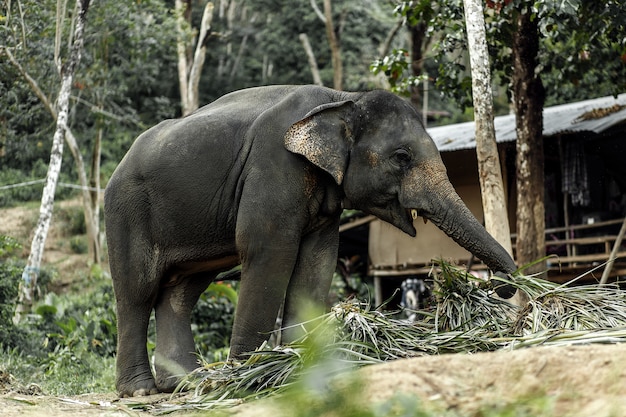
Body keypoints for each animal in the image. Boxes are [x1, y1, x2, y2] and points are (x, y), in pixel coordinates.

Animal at [103, 84, 516, 396]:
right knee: (137, 292)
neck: (343, 98)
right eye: (401, 156)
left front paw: (297, 368)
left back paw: (186, 383)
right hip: (126, 210)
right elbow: (268, 253)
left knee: (181, 292)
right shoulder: (274, 167)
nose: (499, 286)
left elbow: (317, 262)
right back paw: (141, 390)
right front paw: (247, 378)